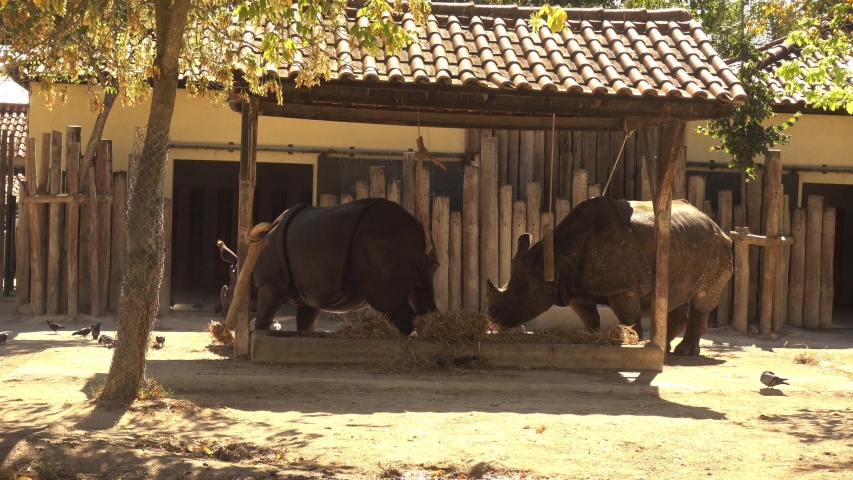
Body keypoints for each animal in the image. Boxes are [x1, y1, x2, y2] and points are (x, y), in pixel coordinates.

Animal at [219, 198, 438, 334]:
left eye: (228, 292)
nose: (223, 315)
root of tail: (416, 228)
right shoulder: (308, 293)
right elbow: (306, 324)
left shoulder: (269, 283)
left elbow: (263, 318)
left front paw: (262, 333)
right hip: (403, 239)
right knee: (422, 292)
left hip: (380, 240)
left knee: (389, 301)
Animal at [485, 196, 733, 356]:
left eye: (520, 295)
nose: (493, 317)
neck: (553, 259)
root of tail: (713, 222)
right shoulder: (574, 287)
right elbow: (588, 318)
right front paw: (591, 338)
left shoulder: (622, 287)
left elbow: (628, 316)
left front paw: (632, 340)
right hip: (685, 243)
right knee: (674, 293)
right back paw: (666, 348)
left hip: (719, 247)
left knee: (703, 296)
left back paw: (684, 352)